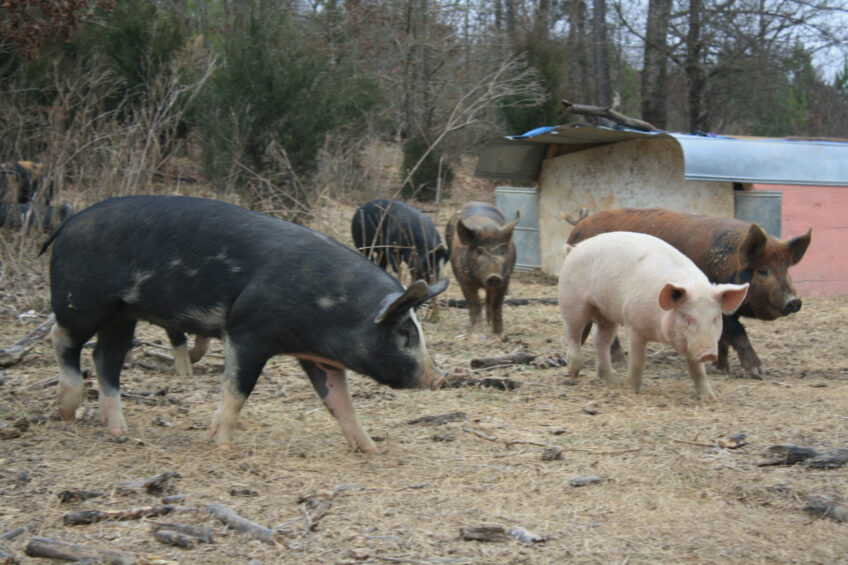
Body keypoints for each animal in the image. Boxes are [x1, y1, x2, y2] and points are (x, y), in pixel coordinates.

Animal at [40, 195, 449, 452]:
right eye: (404, 333)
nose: (439, 377)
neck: (334, 307)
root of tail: (68, 222)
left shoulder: (316, 356)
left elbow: (340, 402)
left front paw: (371, 449)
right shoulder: (247, 332)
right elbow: (237, 390)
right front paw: (220, 446)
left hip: (123, 313)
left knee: (106, 357)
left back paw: (117, 429)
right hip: (84, 299)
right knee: (61, 338)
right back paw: (66, 411)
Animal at [445, 202, 519, 336]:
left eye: (502, 251)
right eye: (479, 251)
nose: (494, 276)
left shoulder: (505, 279)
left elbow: (497, 304)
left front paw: (499, 334)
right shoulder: (465, 281)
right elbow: (475, 305)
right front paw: (477, 336)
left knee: (489, 298)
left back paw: (489, 322)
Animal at [559, 232, 749, 399]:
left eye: (715, 319)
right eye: (687, 317)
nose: (708, 353)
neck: (659, 331)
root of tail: (573, 249)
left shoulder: (692, 344)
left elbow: (697, 371)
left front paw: (710, 397)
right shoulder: (634, 324)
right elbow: (637, 362)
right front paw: (634, 390)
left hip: (607, 313)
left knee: (600, 339)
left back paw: (612, 379)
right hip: (572, 301)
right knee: (573, 334)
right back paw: (574, 373)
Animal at [566, 208, 812, 377]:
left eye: (786, 268)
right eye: (763, 270)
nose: (794, 301)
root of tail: (577, 229)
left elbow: (722, 337)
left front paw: (720, 368)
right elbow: (738, 332)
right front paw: (758, 372)